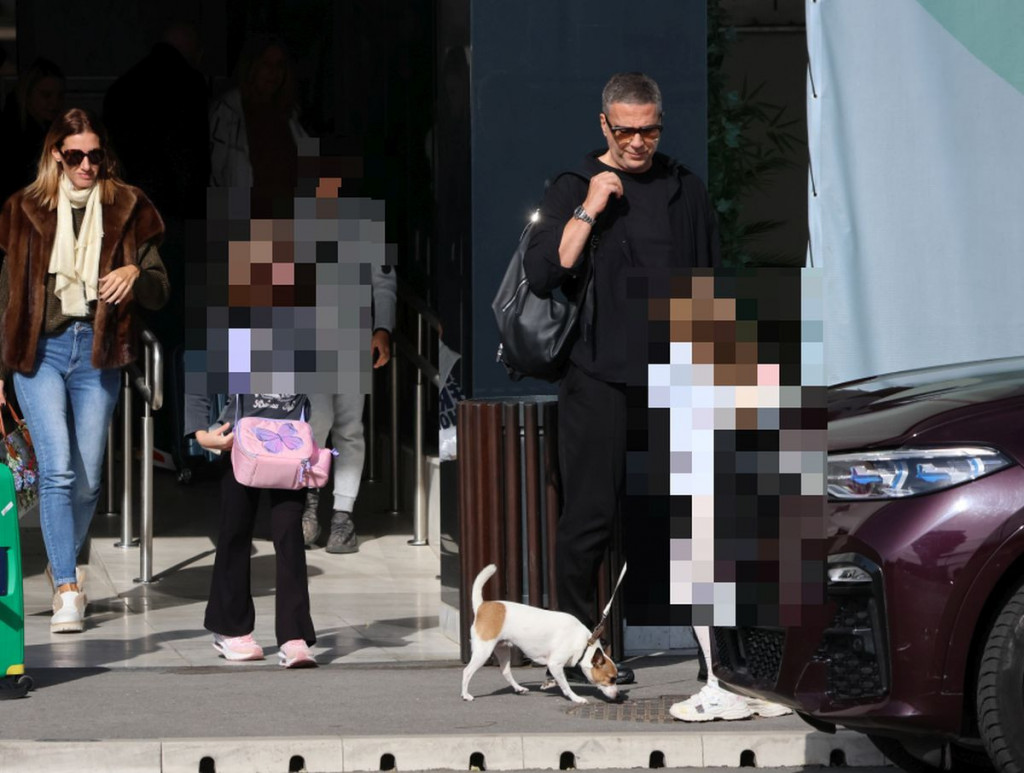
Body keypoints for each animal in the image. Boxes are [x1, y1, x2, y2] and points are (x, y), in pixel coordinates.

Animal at [461, 564, 620, 704]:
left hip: (502, 649)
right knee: (467, 671)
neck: (584, 644)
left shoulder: (556, 667)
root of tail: (482, 606)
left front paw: (549, 683)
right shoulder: (555, 664)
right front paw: (576, 698)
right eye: (611, 679)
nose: (618, 696)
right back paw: (465, 695)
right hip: (483, 652)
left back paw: (518, 688)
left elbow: (560, 680)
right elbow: (566, 686)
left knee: (505, 671)